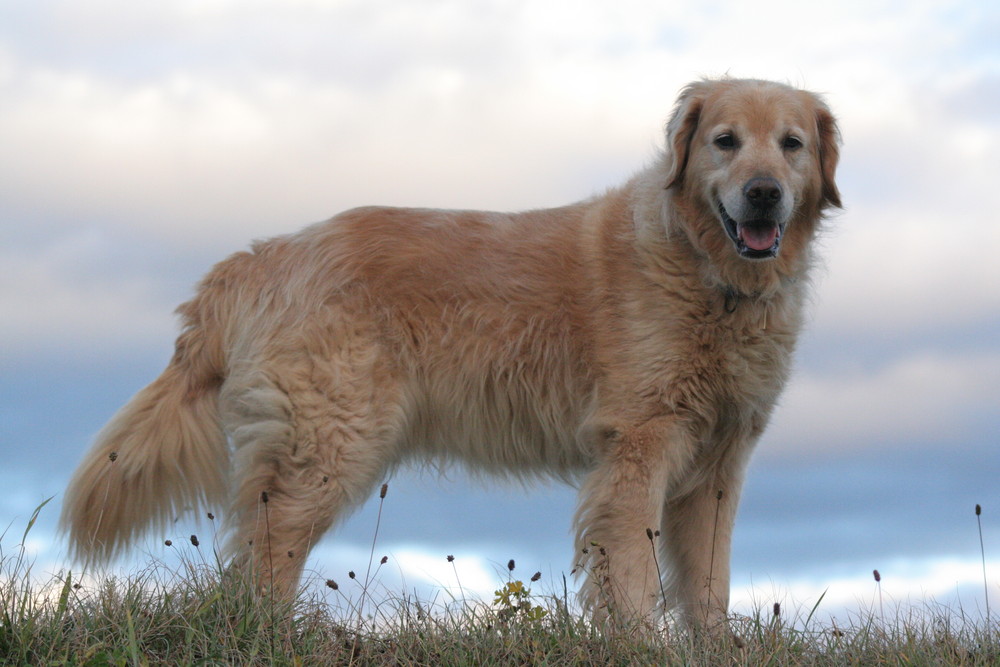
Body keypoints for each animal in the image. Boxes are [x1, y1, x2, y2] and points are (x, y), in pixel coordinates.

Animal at [62, 79, 840, 632]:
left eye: (792, 144)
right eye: (725, 141)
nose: (763, 194)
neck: (711, 278)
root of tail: (260, 256)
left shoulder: (717, 466)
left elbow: (708, 587)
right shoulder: (638, 448)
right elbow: (632, 575)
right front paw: (637, 645)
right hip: (331, 446)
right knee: (264, 551)